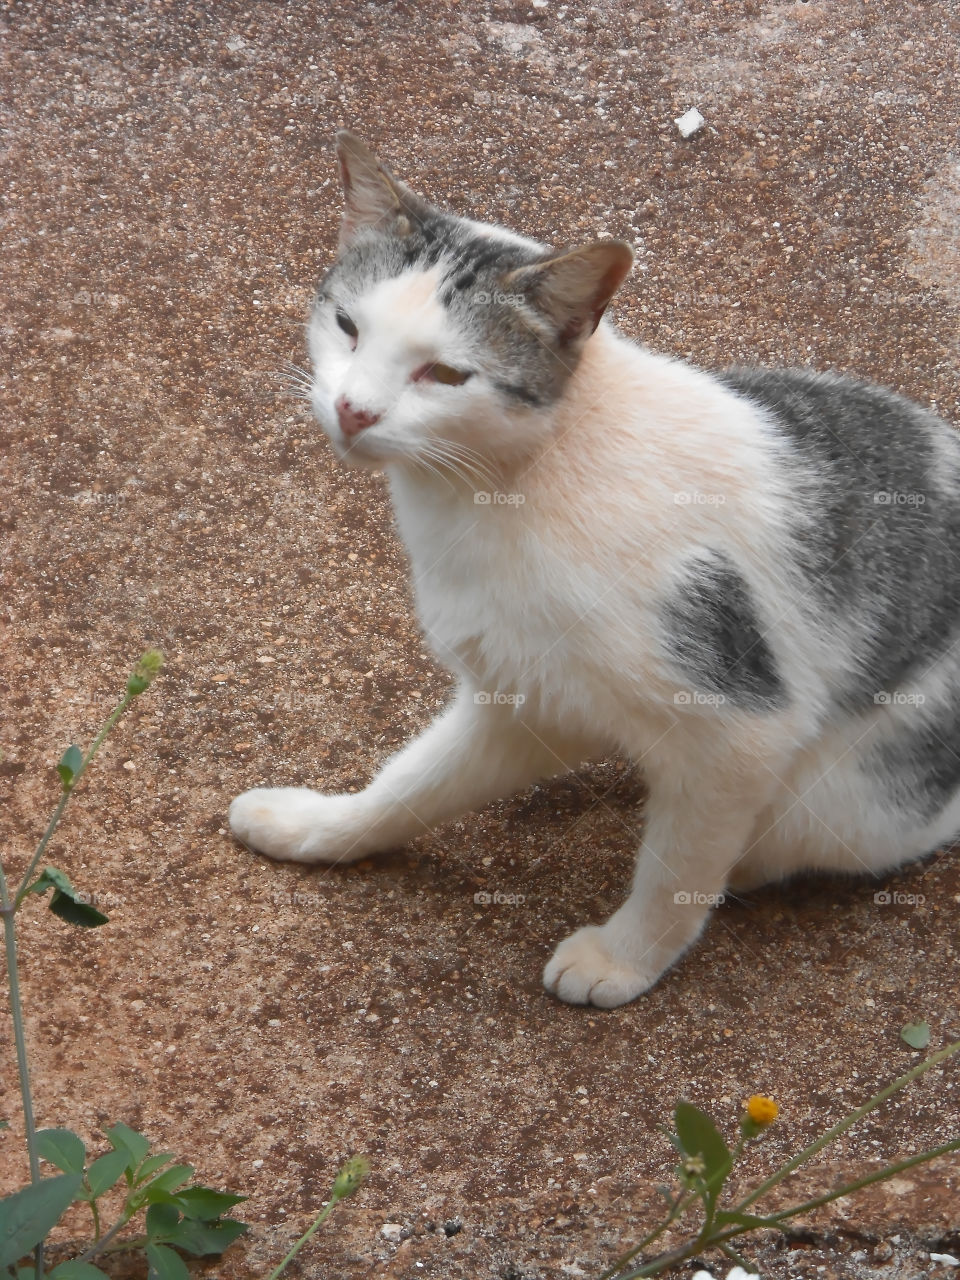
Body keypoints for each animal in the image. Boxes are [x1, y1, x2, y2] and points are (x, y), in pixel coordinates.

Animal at [229, 129, 957, 1008]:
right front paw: (321, 827)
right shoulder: (522, 700)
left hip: (849, 791)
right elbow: (407, 789)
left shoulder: (740, 731)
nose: (353, 410)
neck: (509, 488)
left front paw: (624, 957)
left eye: (446, 373)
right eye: (346, 326)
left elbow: (677, 871)